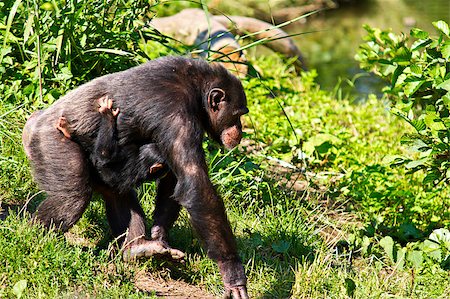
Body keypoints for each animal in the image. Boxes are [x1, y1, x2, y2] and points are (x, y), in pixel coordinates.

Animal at [22, 55, 250, 298]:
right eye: (237, 115)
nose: (240, 130)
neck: (196, 89)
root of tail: (31, 123)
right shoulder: (177, 115)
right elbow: (195, 184)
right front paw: (233, 274)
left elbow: (174, 178)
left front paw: (159, 235)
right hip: (50, 142)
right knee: (71, 199)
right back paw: (34, 236)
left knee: (119, 197)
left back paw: (137, 249)